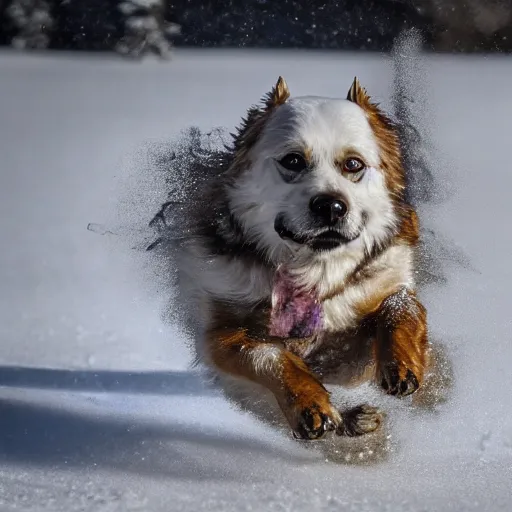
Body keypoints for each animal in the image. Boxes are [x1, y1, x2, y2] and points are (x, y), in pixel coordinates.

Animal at [174, 76, 430, 440]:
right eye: (293, 161)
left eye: (353, 164)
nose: (331, 206)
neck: (313, 270)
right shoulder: (221, 332)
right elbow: (272, 357)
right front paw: (311, 404)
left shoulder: (388, 282)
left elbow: (398, 309)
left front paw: (401, 363)